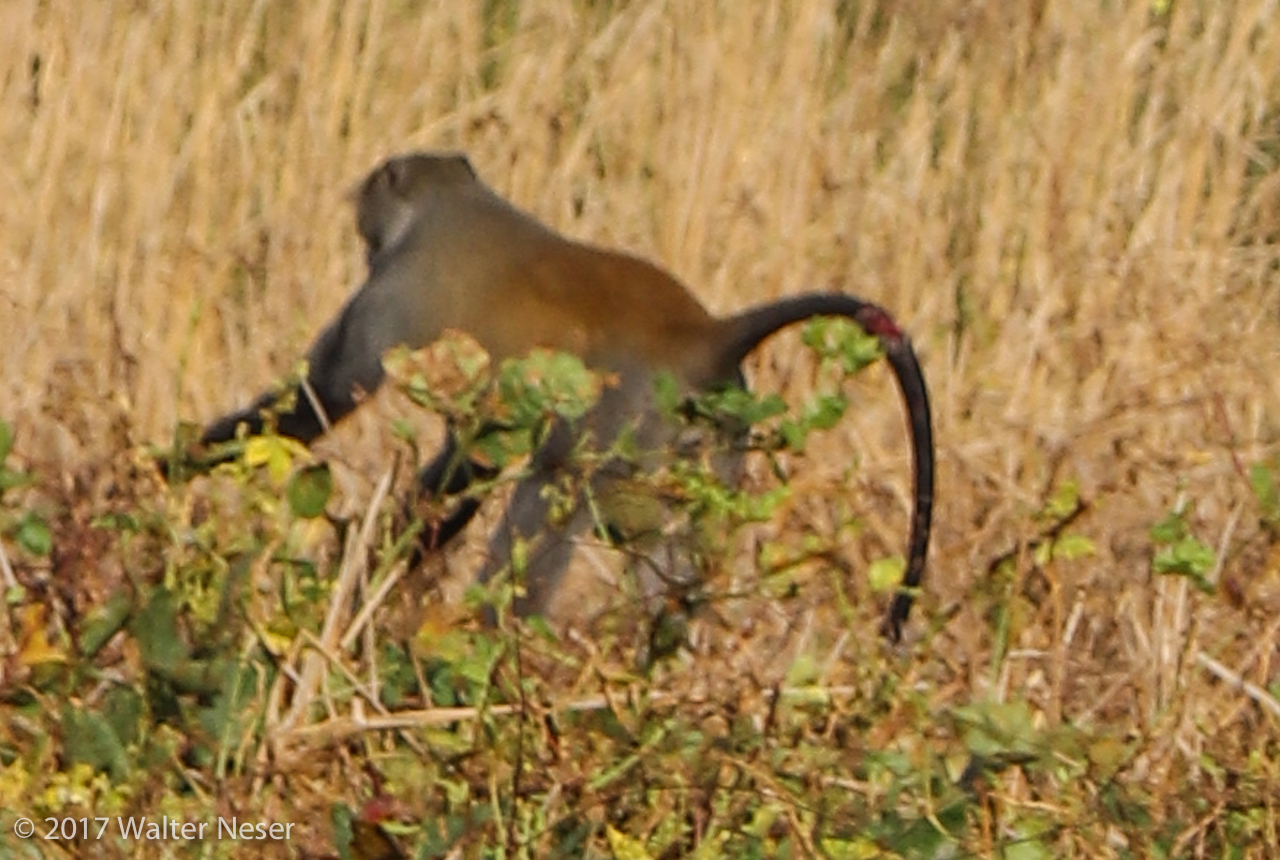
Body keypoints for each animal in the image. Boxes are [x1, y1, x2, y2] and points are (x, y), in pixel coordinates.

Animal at [202, 151, 942, 642]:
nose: (362, 216)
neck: (450, 203)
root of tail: (705, 338)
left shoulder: (387, 295)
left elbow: (321, 400)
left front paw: (191, 458)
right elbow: (467, 463)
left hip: (622, 426)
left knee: (546, 495)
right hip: (709, 445)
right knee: (670, 569)